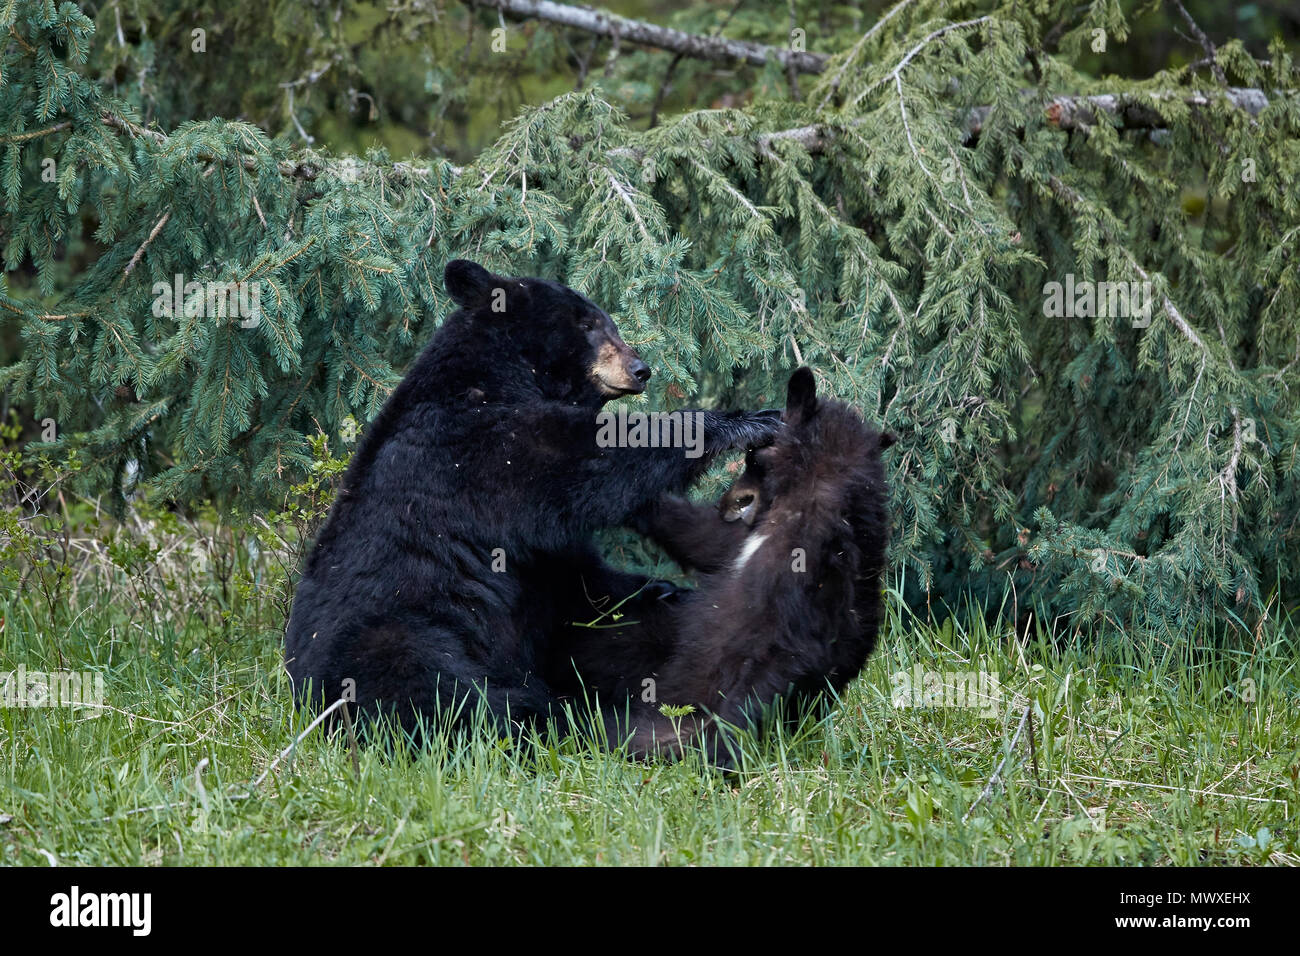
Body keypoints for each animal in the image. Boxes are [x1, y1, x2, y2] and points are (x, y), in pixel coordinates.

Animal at [288, 261, 774, 738]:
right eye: (588, 324)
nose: (641, 369)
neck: (492, 373)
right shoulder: (471, 444)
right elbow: (573, 458)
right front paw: (741, 421)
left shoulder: (544, 562)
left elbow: (582, 577)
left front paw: (661, 584)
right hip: (392, 629)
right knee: (434, 691)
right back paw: (554, 715)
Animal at [548, 369, 894, 770]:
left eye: (753, 457)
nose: (727, 502)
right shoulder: (751, 535)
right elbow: (708, 540)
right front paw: (641, 498)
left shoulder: (808, 559)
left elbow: (788, 643)